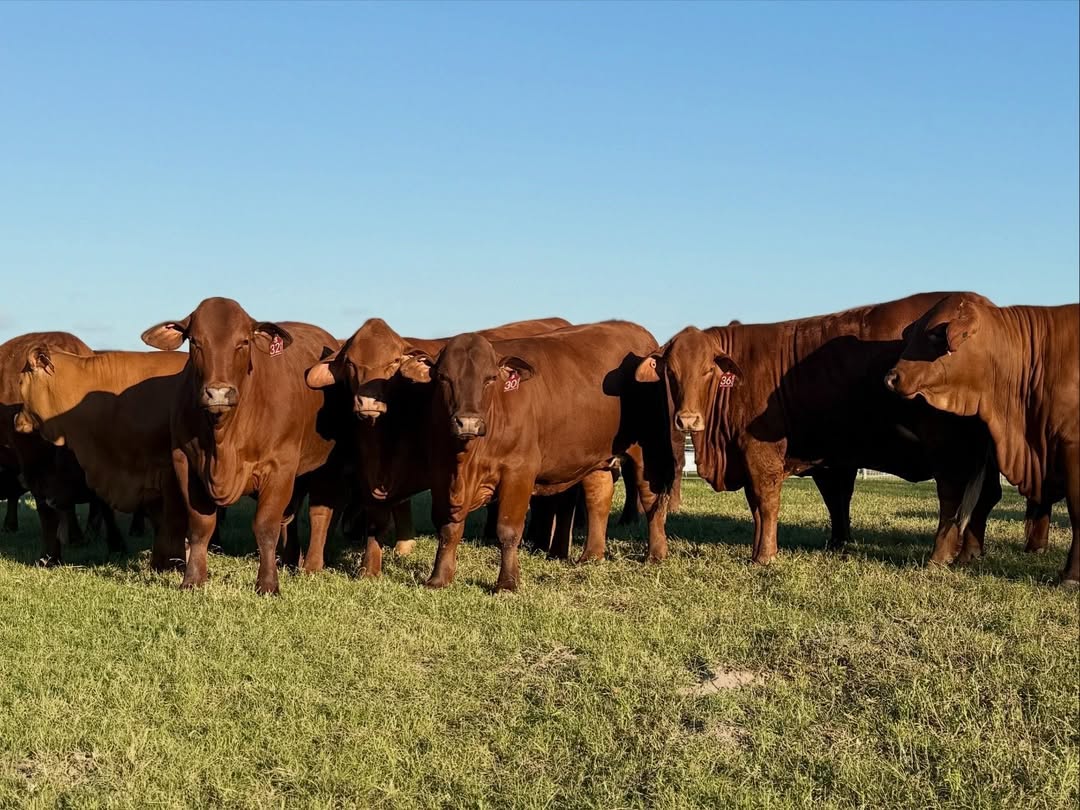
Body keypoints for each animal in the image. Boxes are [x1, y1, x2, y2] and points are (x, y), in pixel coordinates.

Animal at [142, 297, 343, 594]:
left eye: (243, 342)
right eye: (195, 341)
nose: (218, 393)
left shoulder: (280, 466)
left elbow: (266, 527)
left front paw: (268, 583)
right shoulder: (184, 462)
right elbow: (201, 525)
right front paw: (193, 578)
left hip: (326, 466)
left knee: (319, 514)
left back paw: (312, 566)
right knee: (290, 518)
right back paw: (290, 559)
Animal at [407, 320, 679, 592]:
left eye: (490, 378)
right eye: (443, 377)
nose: (468, 423)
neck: (465, 461)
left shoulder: (519, 471)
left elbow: (508, 530)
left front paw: (507, 583)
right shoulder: (442, 474)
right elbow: (448, 528)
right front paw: (439, 578)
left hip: (649, 449)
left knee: (651, 498)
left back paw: (655, 554)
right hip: (597, 456)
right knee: (598, 499)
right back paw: (591, 556)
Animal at [635, 293, 1006, 567]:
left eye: (707, 370)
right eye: (671, 372)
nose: (687, 420)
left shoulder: (760, 452)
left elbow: (767, 501)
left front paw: (764, 556)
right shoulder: (819, 460)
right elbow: (793, 503)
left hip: (947, 447)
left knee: (953, 495)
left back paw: (939, 557)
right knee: (986, 496)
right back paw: (970, 554)